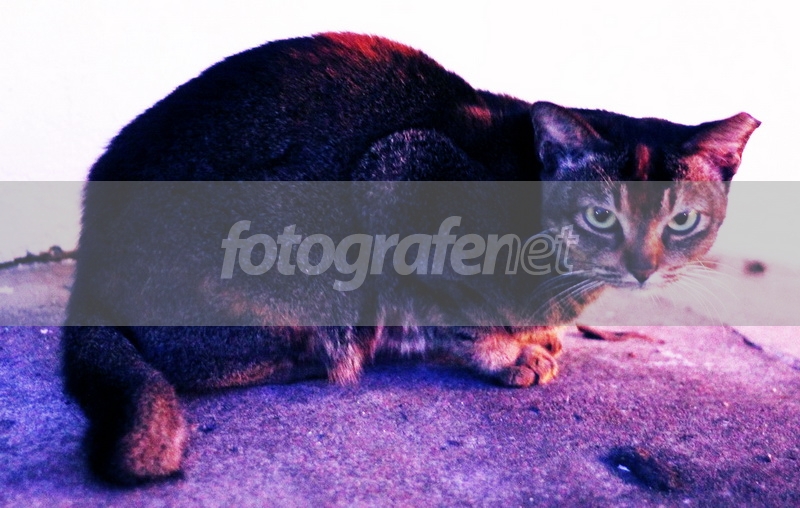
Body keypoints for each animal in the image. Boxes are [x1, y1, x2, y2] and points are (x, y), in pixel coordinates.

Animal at [62, 32, 760, 484]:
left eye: (682, 221)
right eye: (599, 216)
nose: (643, 265)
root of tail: (89, 262)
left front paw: (536, 334)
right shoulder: (399, 173)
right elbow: (460, 309)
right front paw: (504, 352)